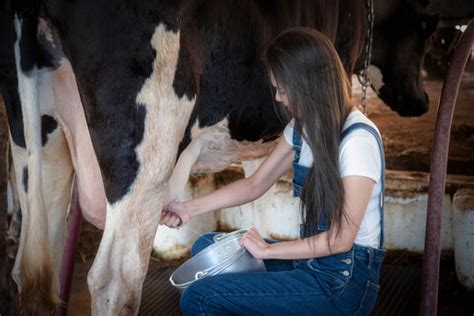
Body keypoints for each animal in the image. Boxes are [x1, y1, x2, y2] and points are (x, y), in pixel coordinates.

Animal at [1, 0, 440, 314]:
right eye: (425, 31)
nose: (422, 101)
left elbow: (256, 182)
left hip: (40, 137)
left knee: (34, 269)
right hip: (149, 143)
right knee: (115, 281)